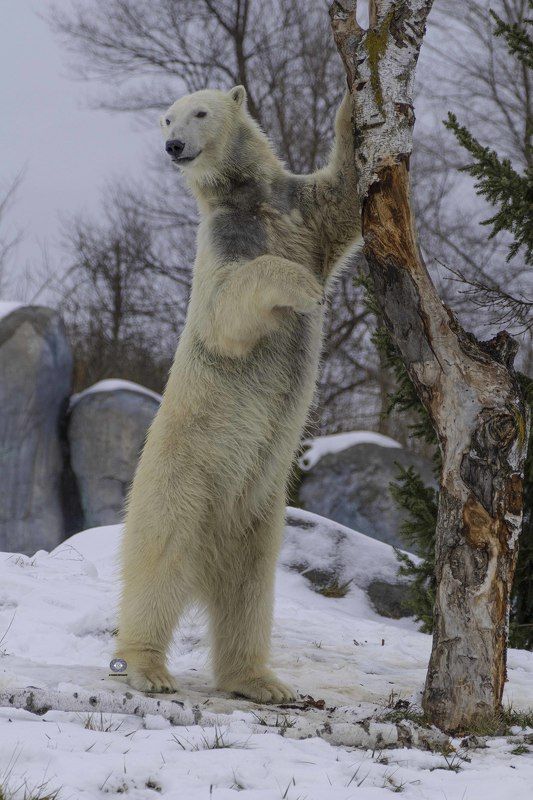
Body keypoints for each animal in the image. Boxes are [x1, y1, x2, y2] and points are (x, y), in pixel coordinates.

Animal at [115, 85, 361, 703]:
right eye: (166, 118)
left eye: (199, 112)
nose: (174, 145)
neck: (247, 200)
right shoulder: (224, 243)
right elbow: (232, 304)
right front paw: (305, 291)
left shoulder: (299, 210)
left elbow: (343, 193)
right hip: (181, 479)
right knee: (160, 560)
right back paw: (148, 667)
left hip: (258, 507)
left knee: (249, 591)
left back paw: (259, 681)